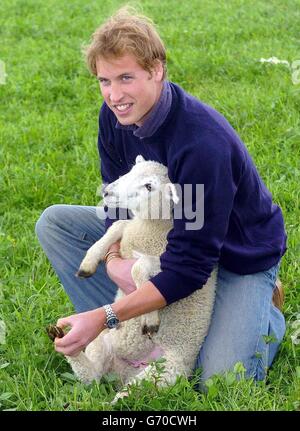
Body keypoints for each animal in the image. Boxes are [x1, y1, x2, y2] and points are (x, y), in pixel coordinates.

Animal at [64, 156, 217, 404]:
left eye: (149, 186)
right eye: (131, 170)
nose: (107, 191)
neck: (151, 226)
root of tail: (126, 371)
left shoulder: (167, 262)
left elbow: (138, 266)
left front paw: (150, 319)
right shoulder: (129, 229)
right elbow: (118, 225)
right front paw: (89, 261)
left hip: (161, 374)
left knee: (121, 398)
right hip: (102, 342)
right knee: (91, 376)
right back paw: (65, 343)